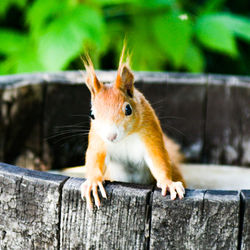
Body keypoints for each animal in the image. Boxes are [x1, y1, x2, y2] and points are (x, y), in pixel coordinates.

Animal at [80, 47, 186, 210]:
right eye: (92, 114)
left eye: (128, 109)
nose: (111, 136)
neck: (125, 138)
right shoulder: (98, 139)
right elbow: (94, 158)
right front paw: (93, 182)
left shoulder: (150, 133)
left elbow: (158, 158)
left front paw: (168, 183)